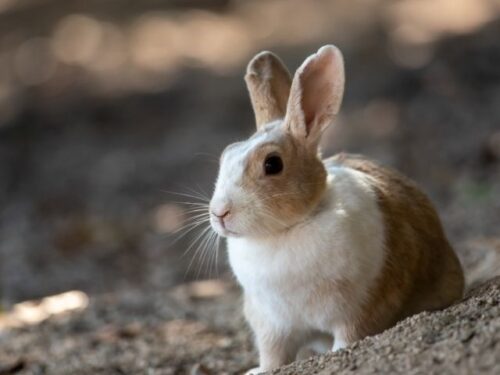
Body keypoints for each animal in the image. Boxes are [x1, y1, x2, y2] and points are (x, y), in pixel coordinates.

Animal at [207, 45, 464, 374]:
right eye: (225, 156)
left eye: (272, 164)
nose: (219, 213)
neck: (289, 229)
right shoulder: (270, 323)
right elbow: (273, 354)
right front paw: (258, 370)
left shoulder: (361, 305)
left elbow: (349, 335)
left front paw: (338, 354)